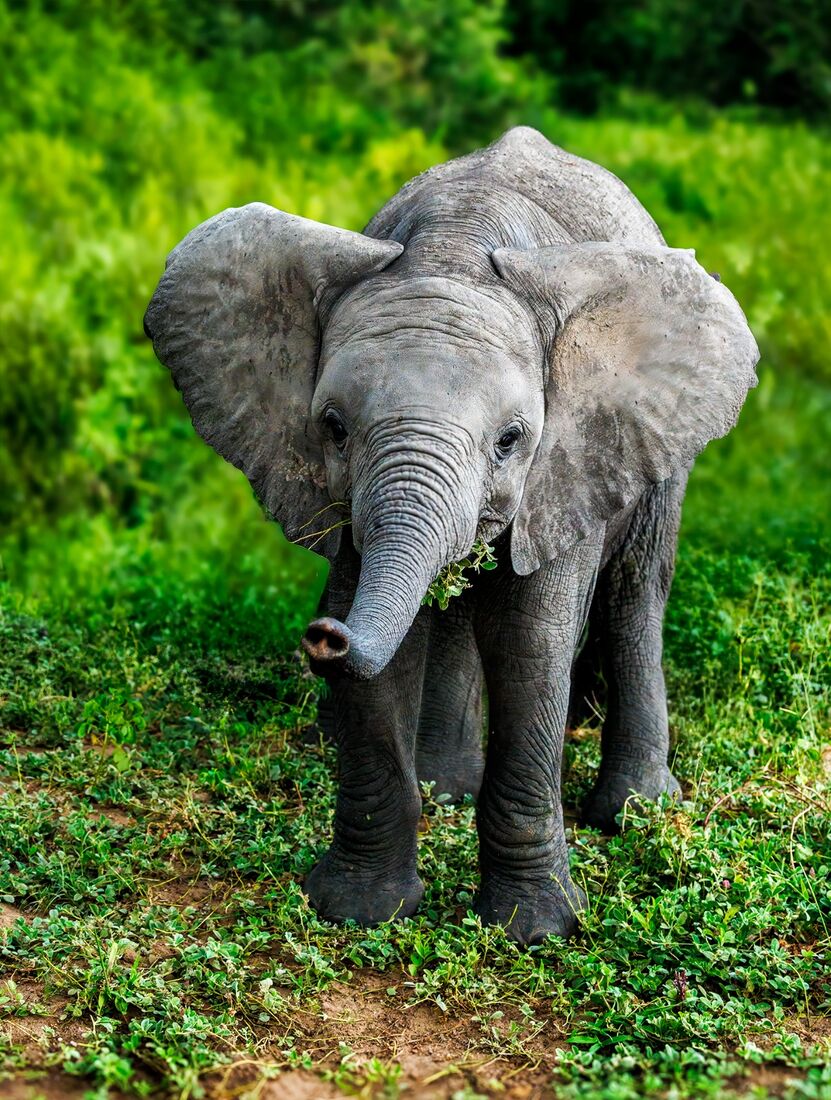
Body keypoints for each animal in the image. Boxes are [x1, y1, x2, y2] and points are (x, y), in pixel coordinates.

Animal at [144, 127, 758, 945]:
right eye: (332, 429)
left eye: (510, 440)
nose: (324, 637)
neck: (453, 251)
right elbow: (393, 652)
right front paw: (359, 910)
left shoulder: (563, 464)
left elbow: (530, 645)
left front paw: (534, 931)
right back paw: (446, 786)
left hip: (659, 445)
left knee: (635, 591)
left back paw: (636, 812)